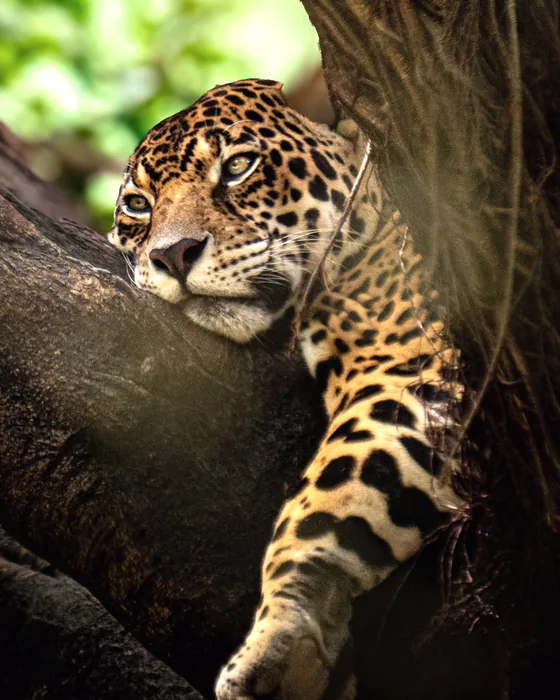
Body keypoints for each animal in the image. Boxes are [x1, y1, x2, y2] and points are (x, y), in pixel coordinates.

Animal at [109, 79, 464, 700]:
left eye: (238, 167)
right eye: (137, 205)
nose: (172, 254)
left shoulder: (408, 365)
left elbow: (328, 495)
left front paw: (281, 635)